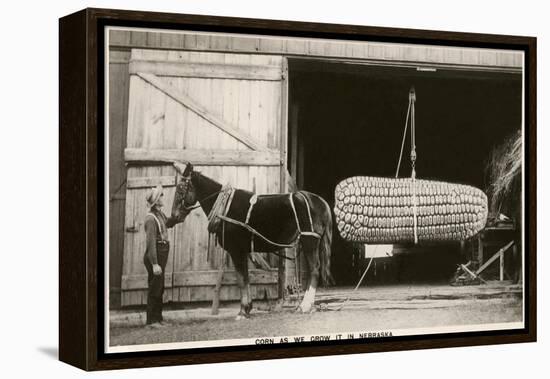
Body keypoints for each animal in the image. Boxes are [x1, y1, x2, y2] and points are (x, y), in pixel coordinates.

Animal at [171, 162, 332, 320]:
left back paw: (305, 306)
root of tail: (320, 201)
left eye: (180, 189)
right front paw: (247, 308)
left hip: (309, 241)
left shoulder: (236, 250)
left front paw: (243, 311)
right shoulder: (243, 251)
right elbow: (245, 278)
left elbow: (241, 279)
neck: (225, 207)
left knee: (314, 270)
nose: (173, 217)